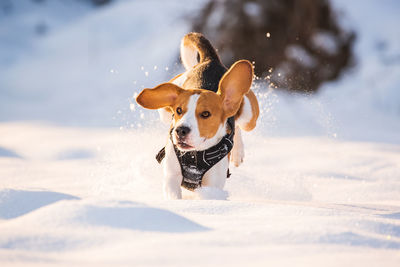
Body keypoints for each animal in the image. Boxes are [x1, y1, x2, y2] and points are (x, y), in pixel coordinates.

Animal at [135, 33, 260, 199]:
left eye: (205, 114)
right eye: (179, 110)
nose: (180, 130)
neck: (195, 155)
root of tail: (210, 60)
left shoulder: (212, 187)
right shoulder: (171, 177)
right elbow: (173, 193)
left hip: (249, 117)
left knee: (238, 124)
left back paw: (238, 152)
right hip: (164, 111)